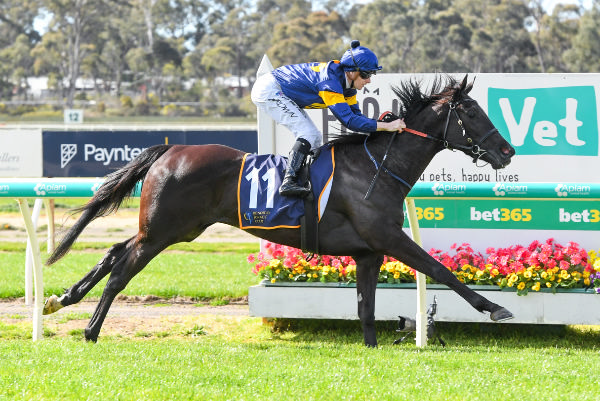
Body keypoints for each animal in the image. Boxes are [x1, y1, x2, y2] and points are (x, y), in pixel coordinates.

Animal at [44, 74, 516, 344]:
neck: (376, 167)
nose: (507, 151)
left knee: (113, 251)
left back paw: (62, 298)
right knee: (122, 269)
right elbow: (439, 269)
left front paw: (371, 347)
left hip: (170, 228)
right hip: (163, 231)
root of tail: (170, 148)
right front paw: (495, 307)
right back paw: (90, 330)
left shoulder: (368, 252)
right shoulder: (388, 238)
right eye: (472, 111)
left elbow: (366, 307)